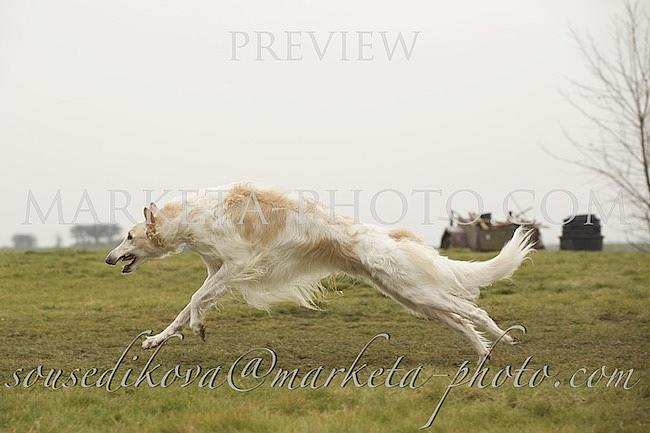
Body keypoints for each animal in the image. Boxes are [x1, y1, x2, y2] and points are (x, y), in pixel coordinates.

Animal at [106, 183, 535, 360]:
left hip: (415, 291)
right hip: (411, 297)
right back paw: (483, 352)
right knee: (462, 321)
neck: (192, 218)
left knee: (475, 310)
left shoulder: (239, 265)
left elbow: (194, 302)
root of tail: (389, 238)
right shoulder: (218, 270)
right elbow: (184, 308)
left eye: (128, 236)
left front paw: (198, 328)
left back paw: (505, 340)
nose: (109, 259)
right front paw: (156, 340)